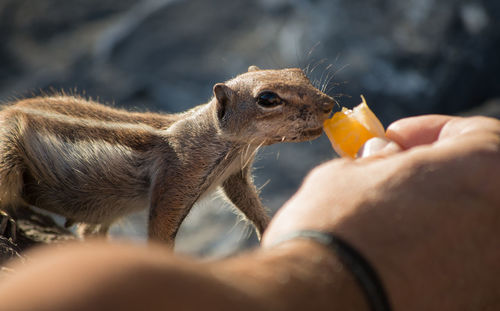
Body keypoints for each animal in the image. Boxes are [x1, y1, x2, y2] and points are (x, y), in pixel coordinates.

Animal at [0, 66, 336, 246]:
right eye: (267, 98)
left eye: (299, 73)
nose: (329, 104)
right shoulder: (176, 181)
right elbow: (160, 229)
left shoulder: (235, 175)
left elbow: (249, 203)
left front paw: (270, 228)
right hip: (7, 149)